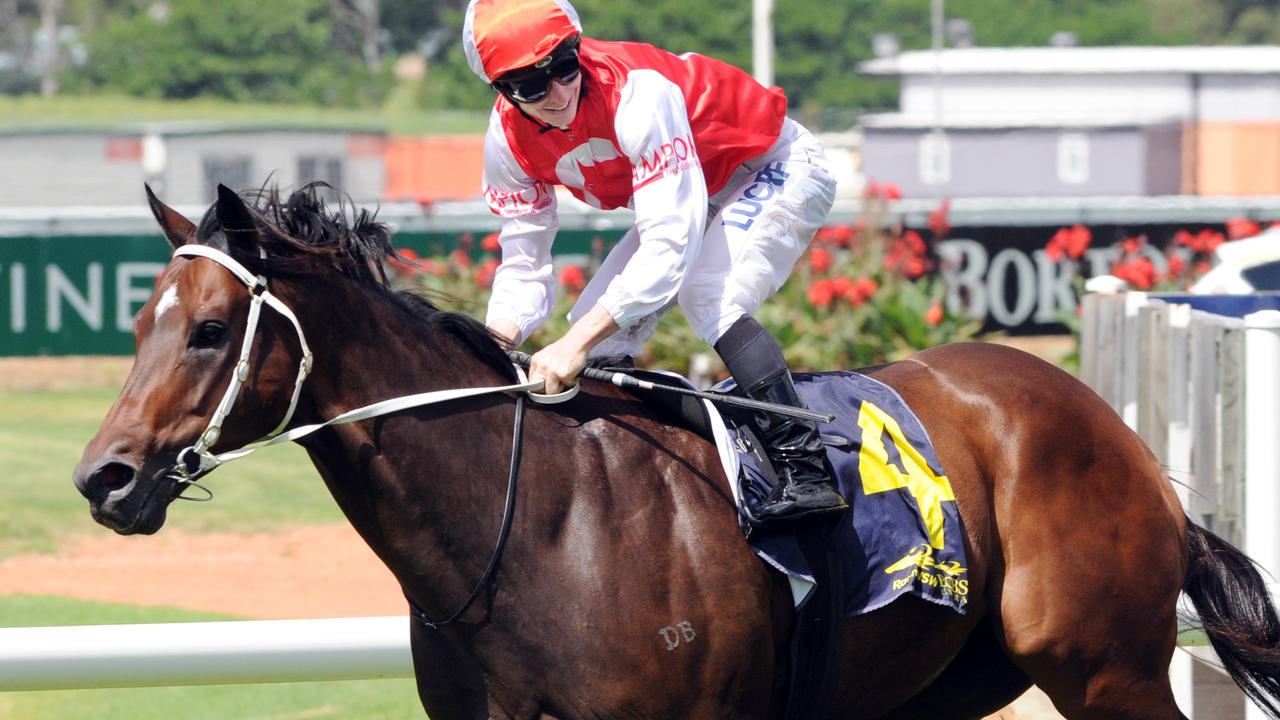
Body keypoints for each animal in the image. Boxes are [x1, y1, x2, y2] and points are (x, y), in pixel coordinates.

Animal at [74, 181, 1280, 712]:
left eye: (210, 329)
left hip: (1102, 664)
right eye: (138, 324)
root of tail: (1124, 442)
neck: (537, 534)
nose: (104, 477)